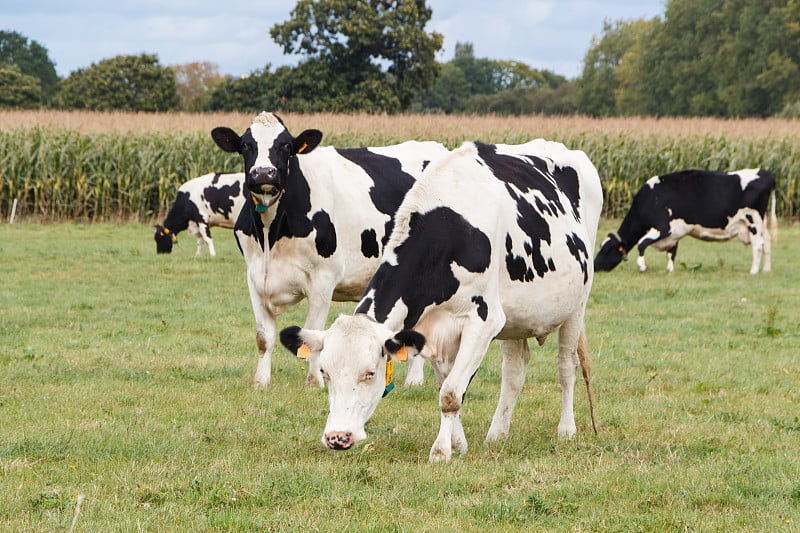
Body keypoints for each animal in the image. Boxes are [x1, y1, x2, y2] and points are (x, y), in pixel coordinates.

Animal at [211, 111, 450, 386]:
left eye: (286, 146)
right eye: (246, 146)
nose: (263, 173)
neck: (271, 234)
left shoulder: (323, 278)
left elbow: (313, 333)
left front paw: (314, 383)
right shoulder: (255, 276)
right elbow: (263, 337)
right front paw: (261, 383)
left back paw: (414, 380)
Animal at [280, 139, 600, 460]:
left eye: (370, 373)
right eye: (325, 371)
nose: (337, 437)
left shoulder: (483, 321)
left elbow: (450, 393)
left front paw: (441, 451)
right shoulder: (429, 329)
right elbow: (446, 384)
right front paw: (458, 444)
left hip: (576, 306)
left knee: (567, 367)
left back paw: (566, 430)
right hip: (516, 316)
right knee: (514, 371)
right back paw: (497, 433)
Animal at [592, 167, 776, 274]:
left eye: (607, 250)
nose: (594, 266)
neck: (652, 198)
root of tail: (766, 172)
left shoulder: (663, 227)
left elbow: (641, 244)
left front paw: (642, 266)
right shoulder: (674, 232)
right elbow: (672, 252)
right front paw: (670, 270)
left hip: (753, 220)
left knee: (758, 245)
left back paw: (753, 271)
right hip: (762, 222)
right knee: (767, 242)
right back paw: (766, 270)